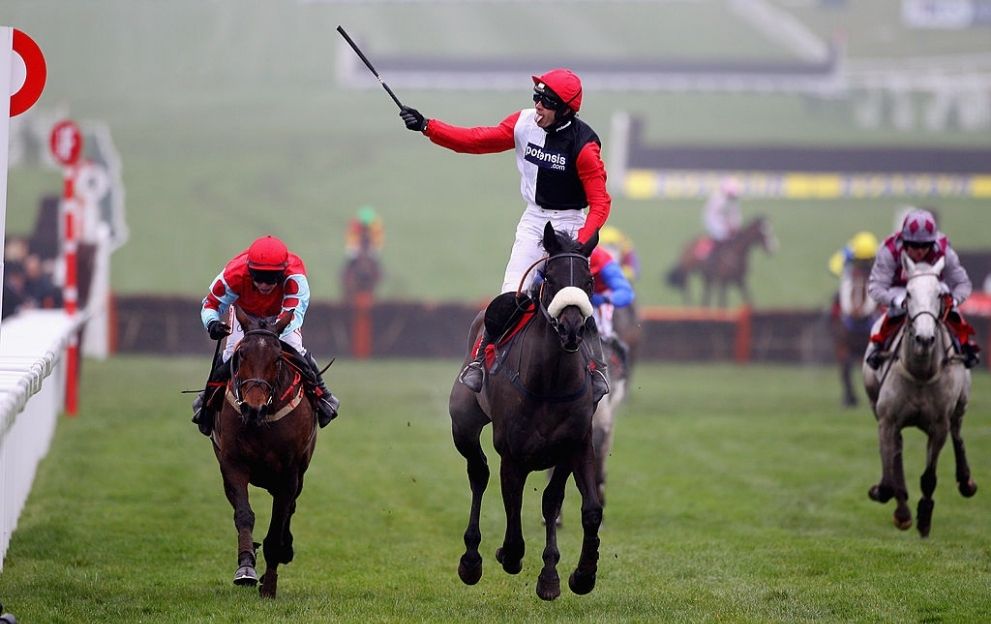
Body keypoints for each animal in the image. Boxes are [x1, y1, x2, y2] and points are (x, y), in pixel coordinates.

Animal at [212, 304, 318, 596]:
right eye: (241, 354)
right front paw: (246, 568)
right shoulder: (233, 464)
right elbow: (244, 515)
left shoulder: (289, 474)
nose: (253, 408)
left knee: (289, 509)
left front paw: (269, 584)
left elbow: (278, 525)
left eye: (278, 359)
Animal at [828, 258, 884, 408]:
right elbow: (845, 367)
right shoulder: (841, 342)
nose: (856, 311)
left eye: (866, 284)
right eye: (852, 283)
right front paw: (849, 399)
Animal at [860, 256, 976, 540]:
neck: (921, 372)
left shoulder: (939, 425)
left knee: (958, 434)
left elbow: (929, 477)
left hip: (961, 404)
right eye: (909, 294)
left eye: (939, 295)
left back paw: (966, 481)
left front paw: (924, 519)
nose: (924, 338)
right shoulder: (887, 420)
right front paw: (893, 504)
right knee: (898, 452)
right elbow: (889, 478)